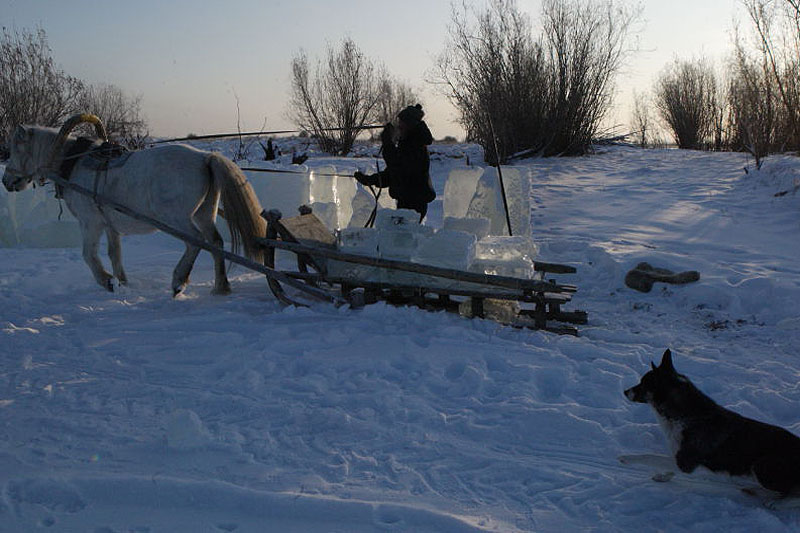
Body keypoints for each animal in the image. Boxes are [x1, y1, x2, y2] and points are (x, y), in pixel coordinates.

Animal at [1, 114, 268, 294]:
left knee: (196, 242)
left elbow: (89, 255)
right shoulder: (110, 224)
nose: (6, 181)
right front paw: (122, 282)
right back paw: (220, 286)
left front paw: (107, 281)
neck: (73, 162)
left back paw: (179, 280)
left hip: (176, 218)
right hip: (205, 213)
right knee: (215, 242)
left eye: (15, 150)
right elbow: (115, 254)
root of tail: (204, 157)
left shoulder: (90, 223)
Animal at [624, 350, 800, 494]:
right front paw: (663, 477)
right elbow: (668, 468)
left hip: (761, 466)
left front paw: (626, 458)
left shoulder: (685, 462)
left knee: (791, 494)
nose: (625, 391)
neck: (682, 414)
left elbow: (649, 457)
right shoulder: (681, 460)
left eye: (643, 384)